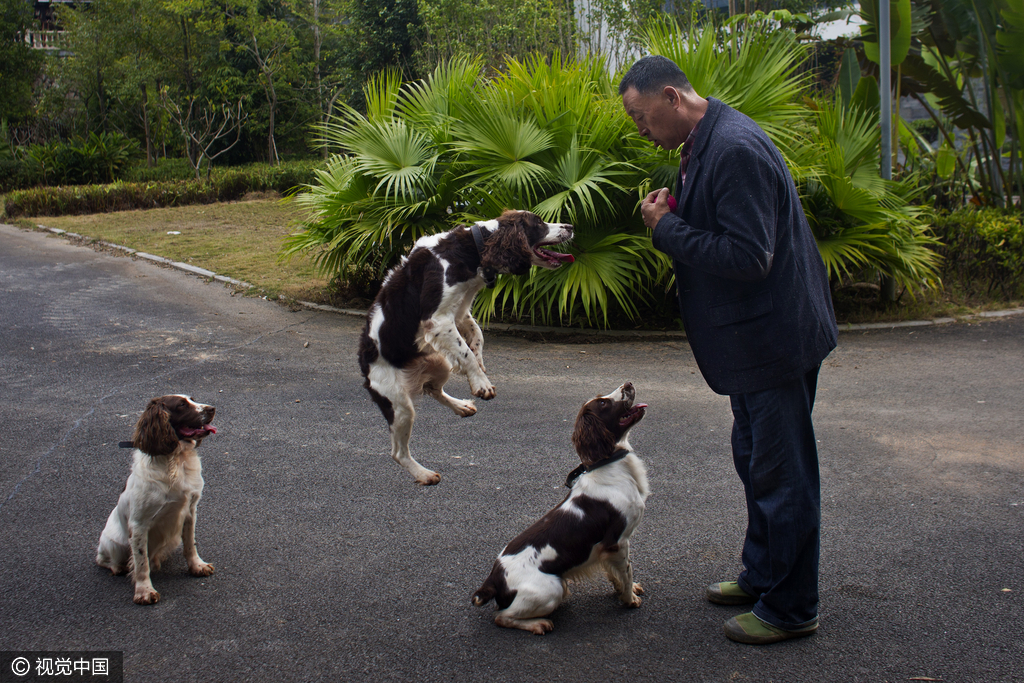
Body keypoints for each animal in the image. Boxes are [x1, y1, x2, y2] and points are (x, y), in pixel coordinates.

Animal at [95, 393, 217, 606]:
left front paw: (197, 566)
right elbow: (141, 562)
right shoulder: (139, 524)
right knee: (104, 559)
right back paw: (117, 567)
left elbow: (190, 544)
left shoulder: (190, 510)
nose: (212, 409)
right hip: (112, 543)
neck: (175, 459)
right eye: (181, 405)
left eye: (192, 399)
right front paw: (144, 591)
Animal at [471, 382, 647, 634]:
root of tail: (493, 580)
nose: (628, 384)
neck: (611, 465)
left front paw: (628, 589)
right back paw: (539, 624)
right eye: (603, 403)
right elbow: (627, 571)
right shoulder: (618, 541)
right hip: (554, 587)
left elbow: (615, 572)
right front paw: (629, 599)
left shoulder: (607, 549)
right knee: (502, 617)